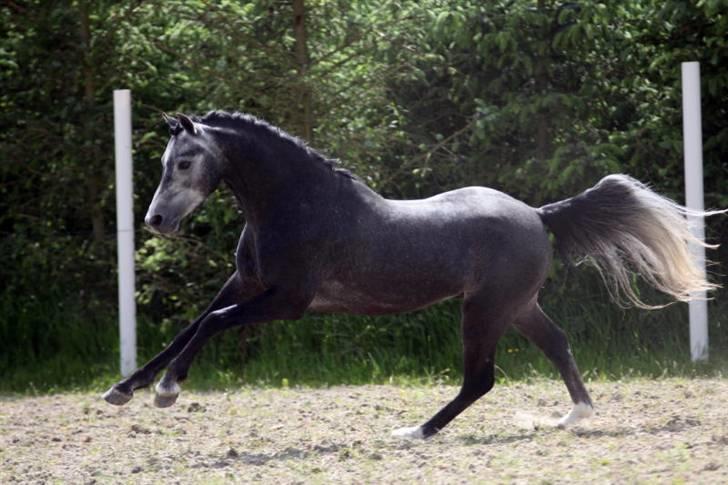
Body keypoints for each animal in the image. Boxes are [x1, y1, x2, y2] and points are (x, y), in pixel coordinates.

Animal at [103, 111, 724, 439]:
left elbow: (211, 326)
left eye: (185, 161)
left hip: (485, 309)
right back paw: (571, 416)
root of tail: (537, 213)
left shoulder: (288, 301)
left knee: (481, 379)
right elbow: (190, 329)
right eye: (166, 162)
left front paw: (166, 392)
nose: (156, 221)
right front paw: (123, 389)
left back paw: (416, 432)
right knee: (557, 344)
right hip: (518, 306)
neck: (295, 205)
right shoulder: (247, 286)